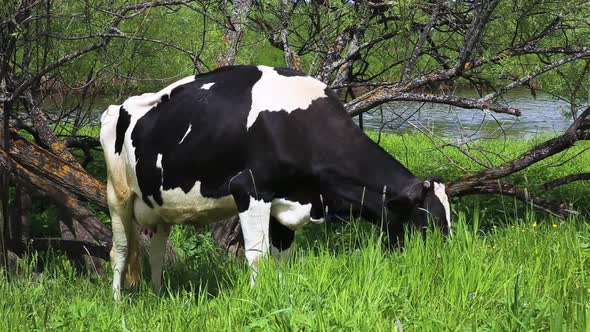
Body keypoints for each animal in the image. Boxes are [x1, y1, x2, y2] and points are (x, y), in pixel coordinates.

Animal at [102, 63, 454, 300]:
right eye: (430, 219)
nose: (444, 262)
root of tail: (118, 105)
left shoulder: (286, 203)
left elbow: (282, 258)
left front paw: (281, 298)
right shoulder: (249, 189)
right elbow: (258, 255)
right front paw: (258, 299)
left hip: (159, 209)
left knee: (157, 253)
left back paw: (158, 296)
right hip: (117, 195)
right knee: (119, 250)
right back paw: (118, 302)